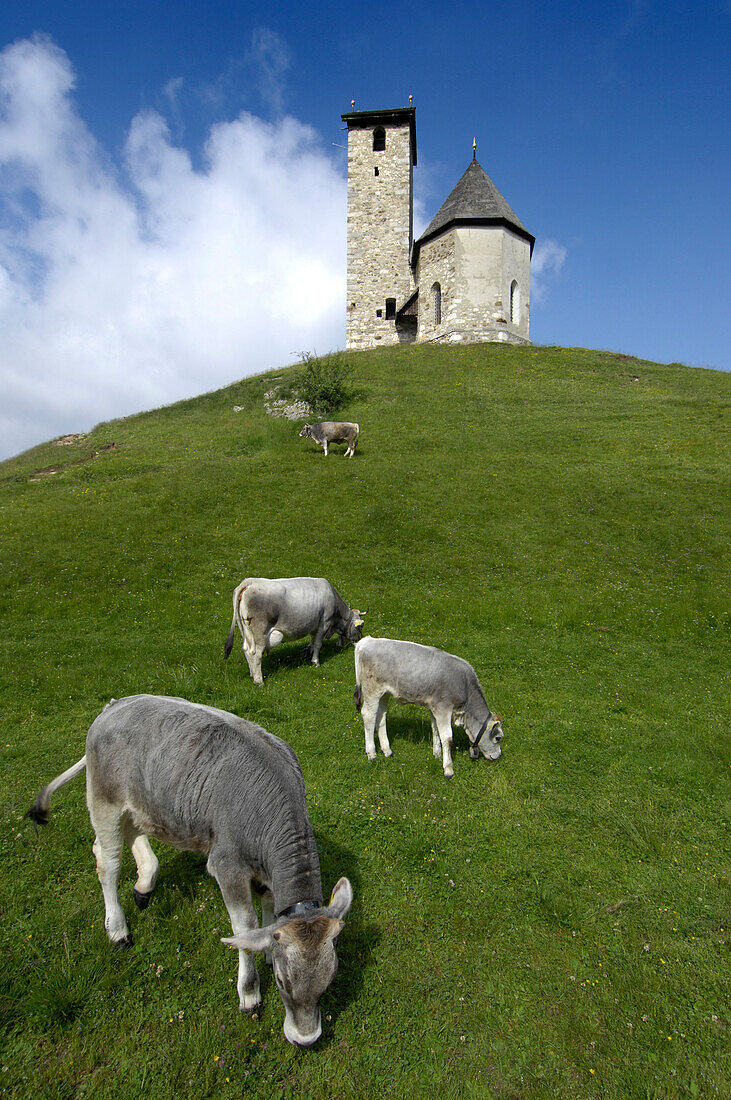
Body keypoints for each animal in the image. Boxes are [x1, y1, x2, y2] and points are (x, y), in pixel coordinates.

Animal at [25, 695, 351, 1047]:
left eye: (330, 977)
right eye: (281, 981)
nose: (306, 1039)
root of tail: (115, 704)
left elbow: (266, 905)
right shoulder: (226, 864)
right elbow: (244, 926)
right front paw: (249, 993)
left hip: (143, 803)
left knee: (131, 835)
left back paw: (144, 885)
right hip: (104, 800)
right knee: (107, 861)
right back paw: (117, 929)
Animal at [222, 580, 364, 682]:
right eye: (360, 626)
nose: (359, 640)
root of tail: (250, 582)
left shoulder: (313, 625)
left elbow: (312, 642)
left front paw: (306, 653)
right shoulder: (323, 624)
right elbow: (318, 644)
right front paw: (315, 662)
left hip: (245, 631)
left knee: (247, 650)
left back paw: (252, 674)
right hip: (260, 633)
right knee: (256, 654)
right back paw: (259, 680)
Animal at [351, 633, 501, 778]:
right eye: (498, 738)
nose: (498, 756)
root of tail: (367, 641)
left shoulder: (435, 708)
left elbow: (435, 729)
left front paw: (437, 754)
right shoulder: (443, 709)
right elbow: (447, 737)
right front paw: (448, 768)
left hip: (384, 694)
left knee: (380, 716)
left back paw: (387, 750)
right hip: (372, 690)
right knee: (369, 715)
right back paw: (371, 753)